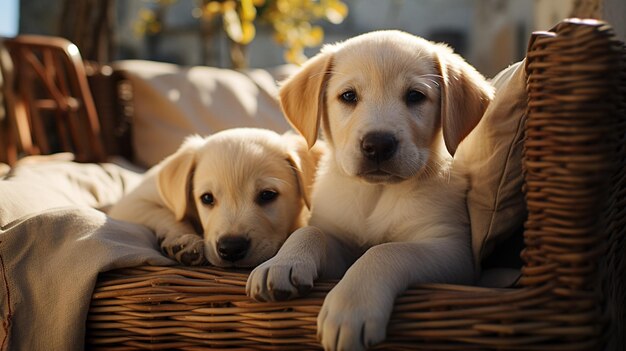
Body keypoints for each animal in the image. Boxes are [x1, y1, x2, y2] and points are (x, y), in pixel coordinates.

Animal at [108, 128, 322, 268]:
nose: (231, 248)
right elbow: (167, 213)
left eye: (267, 195)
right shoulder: (130, 204)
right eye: (207, 198)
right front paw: (184, 240)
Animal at [244, 31, 492, 351]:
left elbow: (386, 250)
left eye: (415, 96)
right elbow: (311, 231)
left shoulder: (453, 251)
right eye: (349, 96)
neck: (375, 194)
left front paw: (351, 306)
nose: (378, 144)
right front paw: (283, 262)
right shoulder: (337, 244)